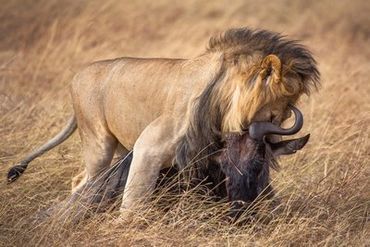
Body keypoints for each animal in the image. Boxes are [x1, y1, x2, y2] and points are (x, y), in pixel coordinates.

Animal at [7, 27, 320, 216]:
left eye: (286, 112)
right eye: (276, 112)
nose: (276, 134)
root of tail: (76, 76)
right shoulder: (149, 147)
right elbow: (134, 200)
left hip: (119, 148)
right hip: (98, 144)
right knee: (84, 182)